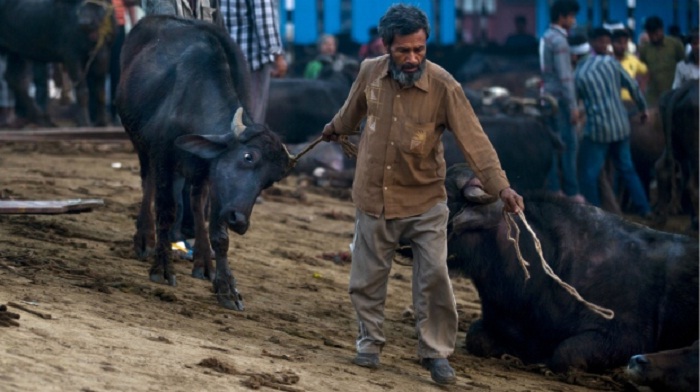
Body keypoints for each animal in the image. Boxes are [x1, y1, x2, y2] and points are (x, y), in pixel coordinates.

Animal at [117, 14, 290, 310]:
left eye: (269, 182)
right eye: (248, 156)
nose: (239, 220)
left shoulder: (216, 175)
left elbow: (219, 232)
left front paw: (226, 286)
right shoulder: (163, 155)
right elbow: (167, 211)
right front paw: (162, 268)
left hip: (199, 173)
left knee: (197, 201)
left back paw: (203, 261)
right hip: (141, 144)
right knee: (148, 183)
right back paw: (145, 239)